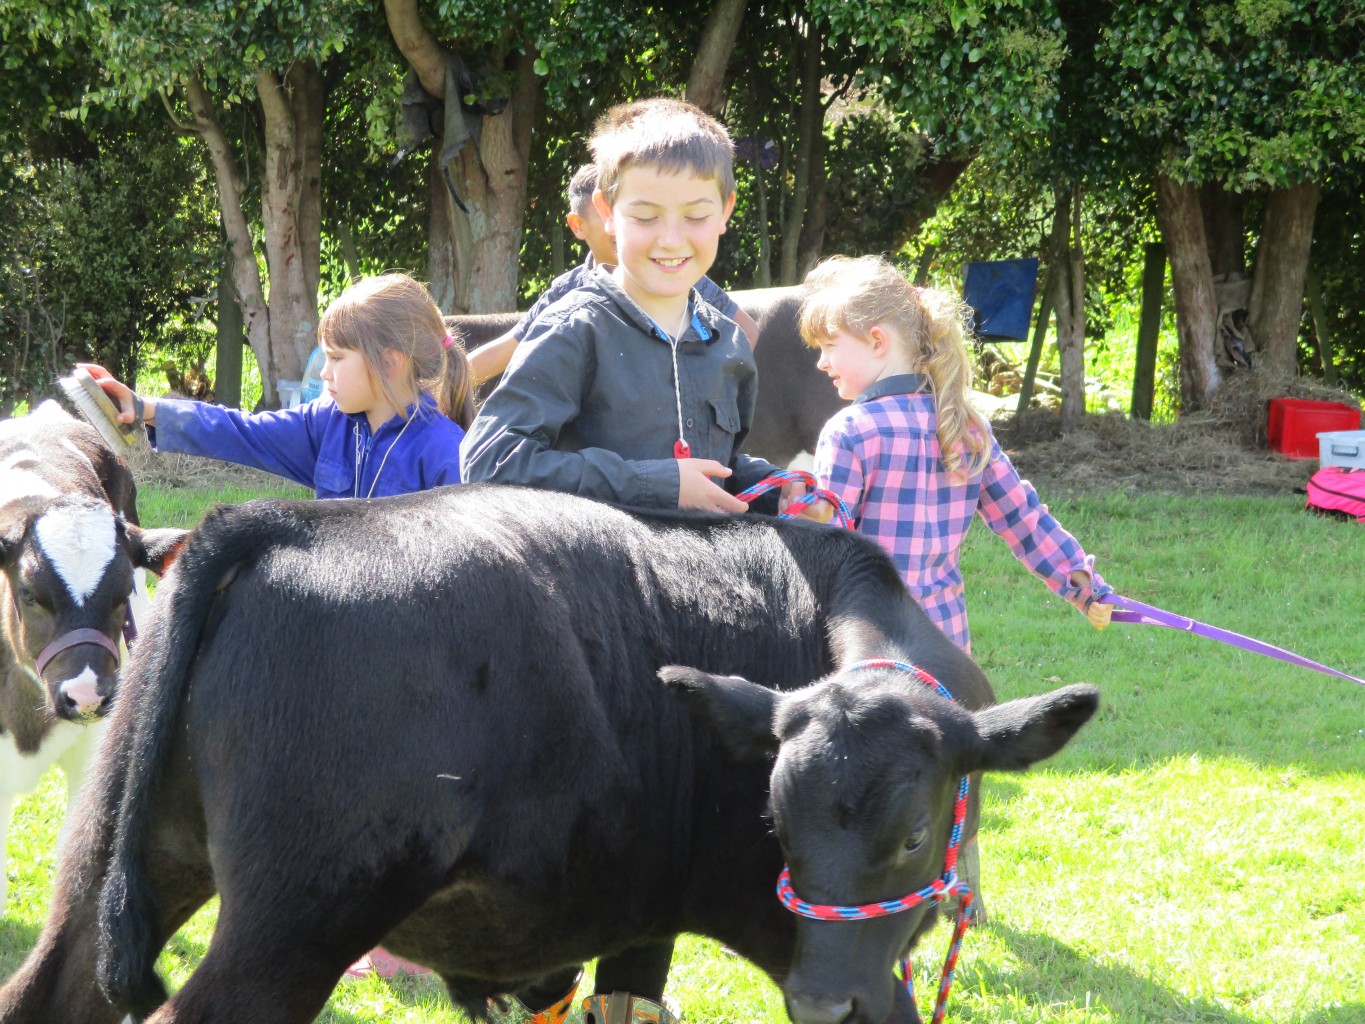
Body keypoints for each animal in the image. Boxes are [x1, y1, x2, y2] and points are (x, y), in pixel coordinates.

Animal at [0, 485, 1097, 1024]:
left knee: (46, 990)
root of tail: (283, 523)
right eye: (774, 821)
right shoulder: (807, 944)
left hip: (117, 856)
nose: (824, 999)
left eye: (911, 834)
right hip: (296, 920)